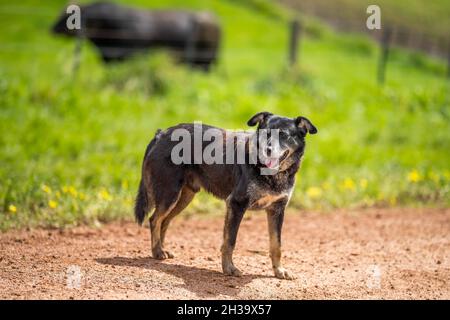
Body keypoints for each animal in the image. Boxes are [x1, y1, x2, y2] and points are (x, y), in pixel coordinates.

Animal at [134, 112, 316, 278]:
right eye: (264, 134)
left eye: (284, 135)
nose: (267, 150)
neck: (271, 174)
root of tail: (161, 134)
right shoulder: (236, 204)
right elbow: (230, 241)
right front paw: (229, 268)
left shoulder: (277, 210)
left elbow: (276, 245)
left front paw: (279, 270)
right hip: (169, 194)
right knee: (155, 219)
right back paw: (157, 251)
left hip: (184, 197)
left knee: (164, 221)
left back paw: (162, 249)